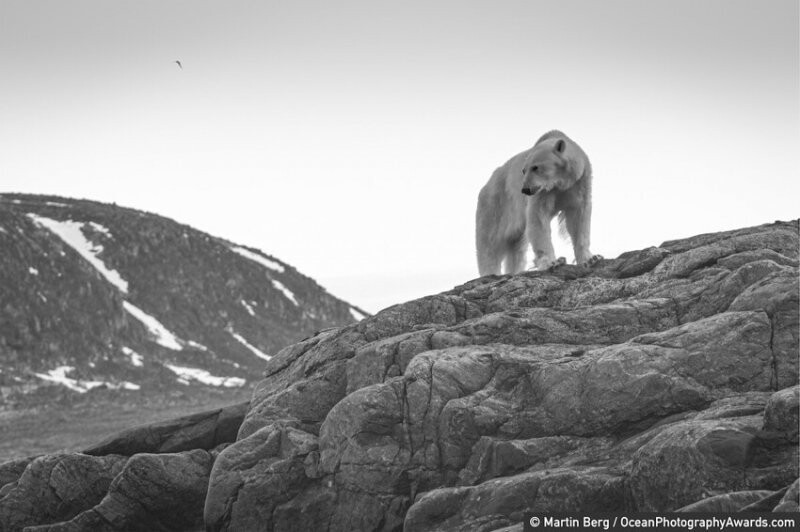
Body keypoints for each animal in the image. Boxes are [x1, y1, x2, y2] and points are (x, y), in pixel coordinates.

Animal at [472, 131, 596, 276]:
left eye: (535, 167)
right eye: (523, 170)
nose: (525, 189)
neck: (561, 183)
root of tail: (486, 186)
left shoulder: (579, 183)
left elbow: (578, 218)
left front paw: (590, 259)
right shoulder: (542, 193)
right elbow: (538, 218)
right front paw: (552, 262)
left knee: (516, 248)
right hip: (495, 206)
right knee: (490, 243)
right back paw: (490, 272)